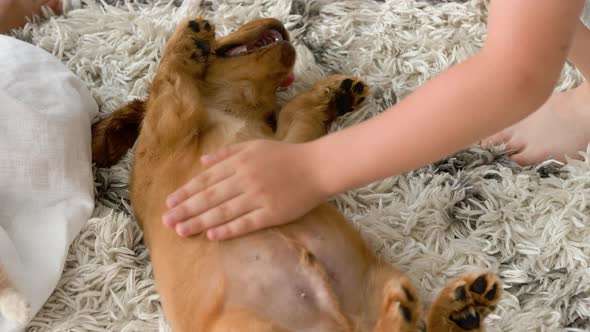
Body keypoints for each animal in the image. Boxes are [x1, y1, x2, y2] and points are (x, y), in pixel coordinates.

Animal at [93, 18, 504, 332]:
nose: (277, 22)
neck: (227, 109)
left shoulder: (282, 147)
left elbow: (297, 115)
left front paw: (332, 93)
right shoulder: (169, 126)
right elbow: (169, 81)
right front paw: (189, 35)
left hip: (382, 281)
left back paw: (457, 308)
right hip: (248, 327)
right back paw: (432, 310)